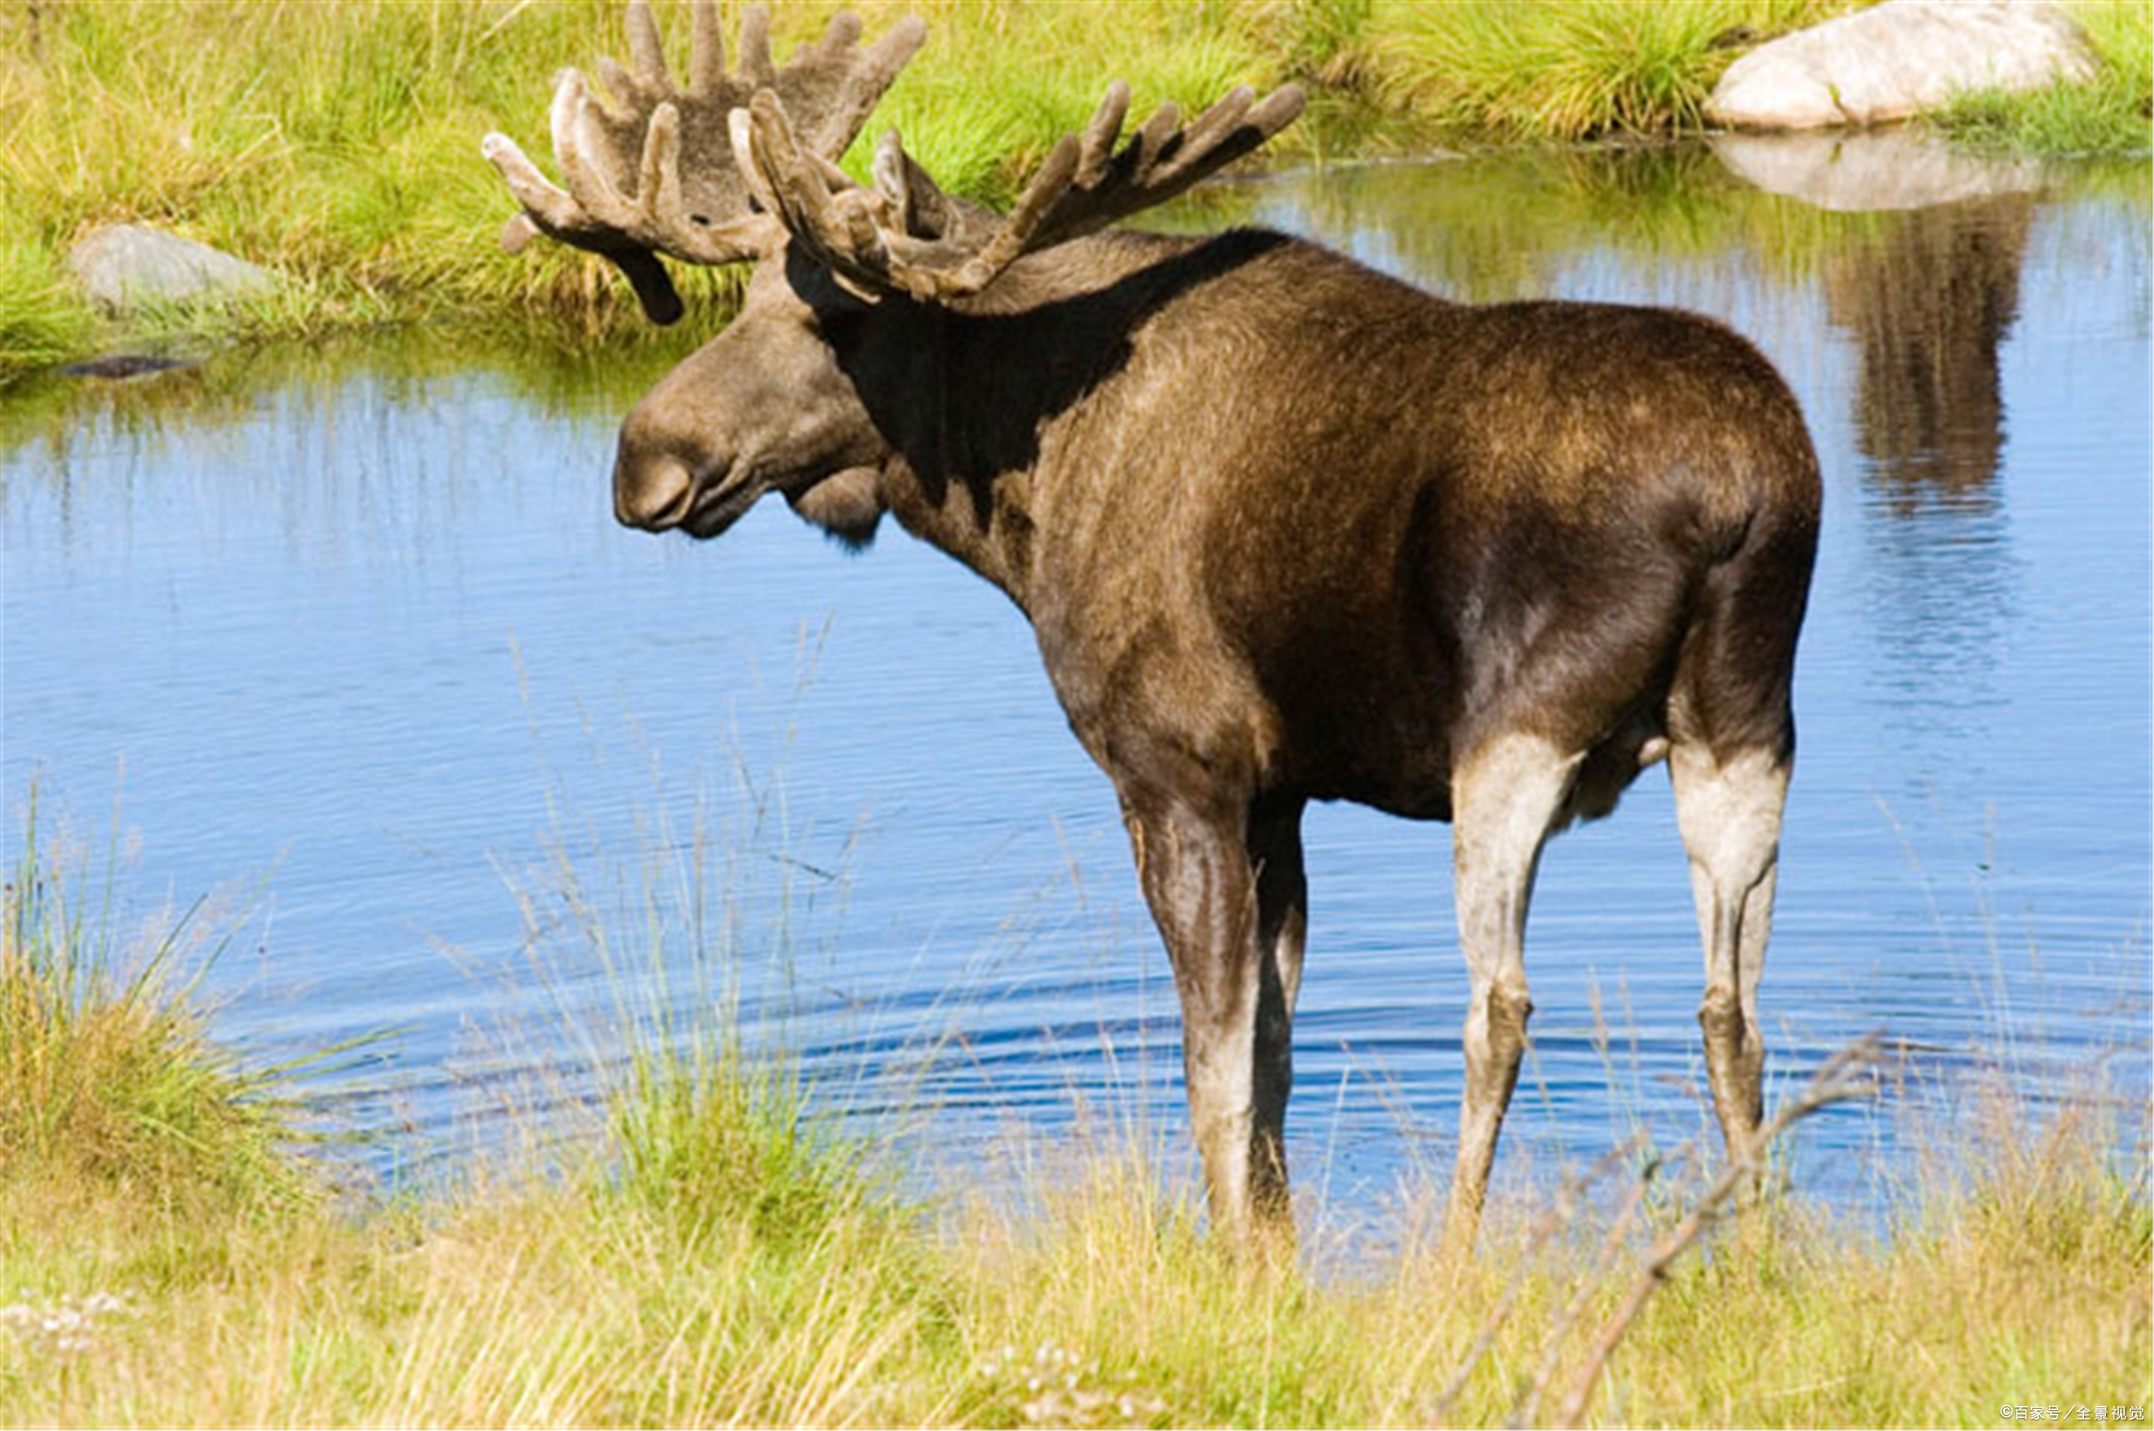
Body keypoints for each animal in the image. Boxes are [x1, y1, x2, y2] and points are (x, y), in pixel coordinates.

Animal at [484, 5, 1817, 1249]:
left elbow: (1214, 1068)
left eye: (845, 322)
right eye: (743, 295)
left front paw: (1229, 1256)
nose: (647, 461)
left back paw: (1454, 1253)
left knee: (1504, 1004)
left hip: (1516, 736)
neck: (1018, 491)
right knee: (1731, 1009)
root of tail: (1741, 496)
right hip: (1744, 724)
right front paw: (1271, 1248)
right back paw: (1750, 1248)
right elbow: (1273, 1062)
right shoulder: (1279, 793)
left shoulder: (1174, 768)